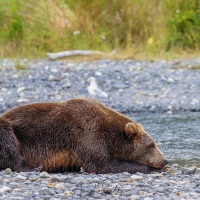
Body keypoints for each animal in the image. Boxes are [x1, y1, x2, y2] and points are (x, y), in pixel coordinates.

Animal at [0, 97, 169, 173]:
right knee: (9, 143)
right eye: (151, 145)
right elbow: (102, 163)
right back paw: (34, 166)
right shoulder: (87, 134)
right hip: (10, 129)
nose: (165, 160)